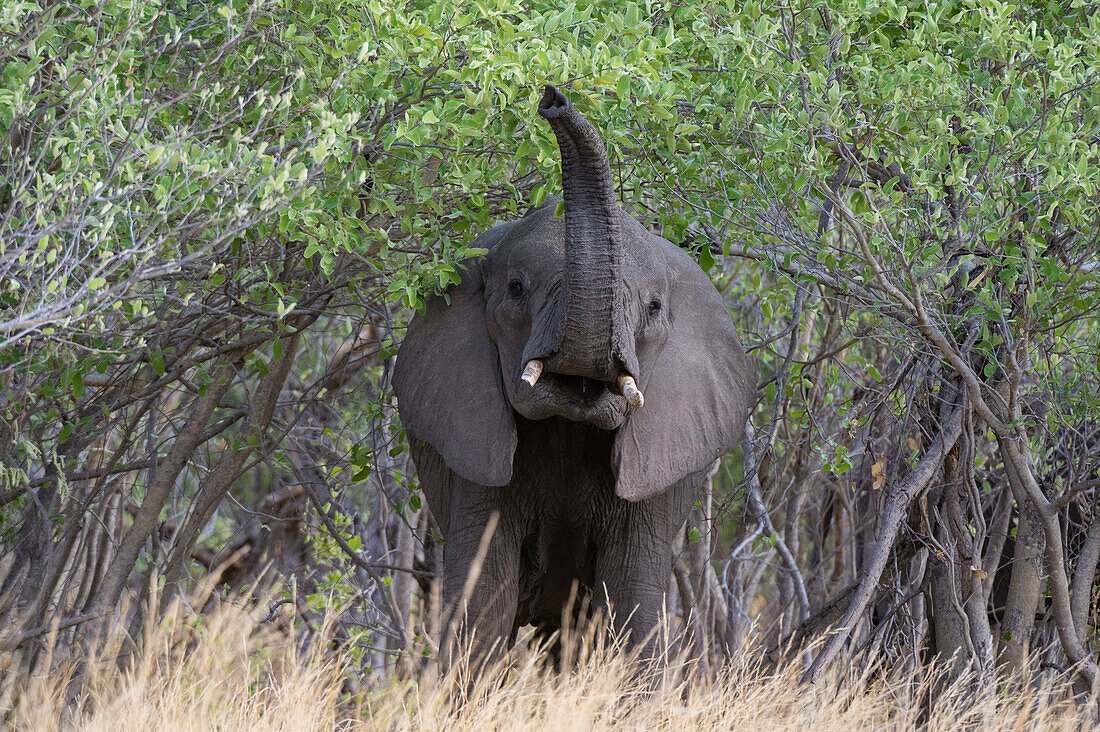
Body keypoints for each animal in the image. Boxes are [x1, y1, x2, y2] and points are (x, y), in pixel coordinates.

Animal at [393, 85, 756, 669]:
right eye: (516, 288)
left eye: (654, 308)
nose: (552, 97)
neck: (572, 415)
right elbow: (482, 596)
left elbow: (634, 599)